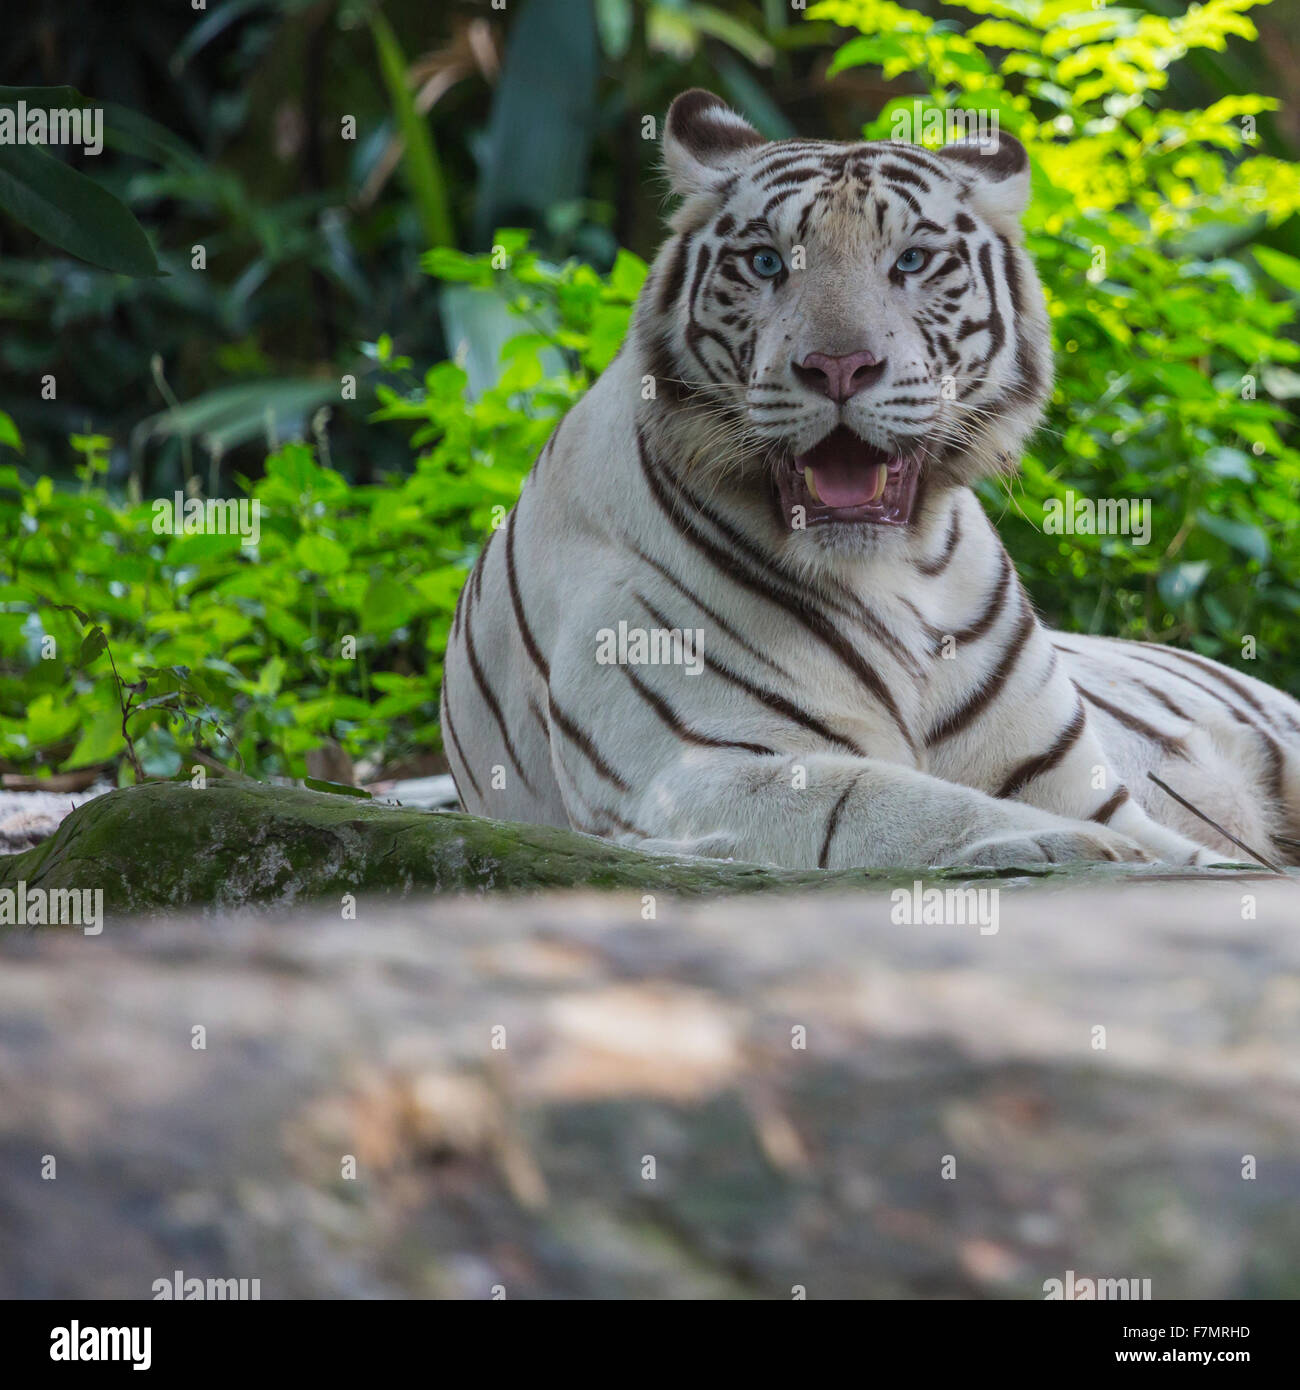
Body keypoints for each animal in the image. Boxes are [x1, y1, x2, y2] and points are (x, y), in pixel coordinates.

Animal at [439, 88, 1300, 871]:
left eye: (911, 260)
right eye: (767, 262)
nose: (839, 367)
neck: (898, 573)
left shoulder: (1078, 782)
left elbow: (1185, 853)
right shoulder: (694, 769)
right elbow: (900, 803)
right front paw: (1071, 848)